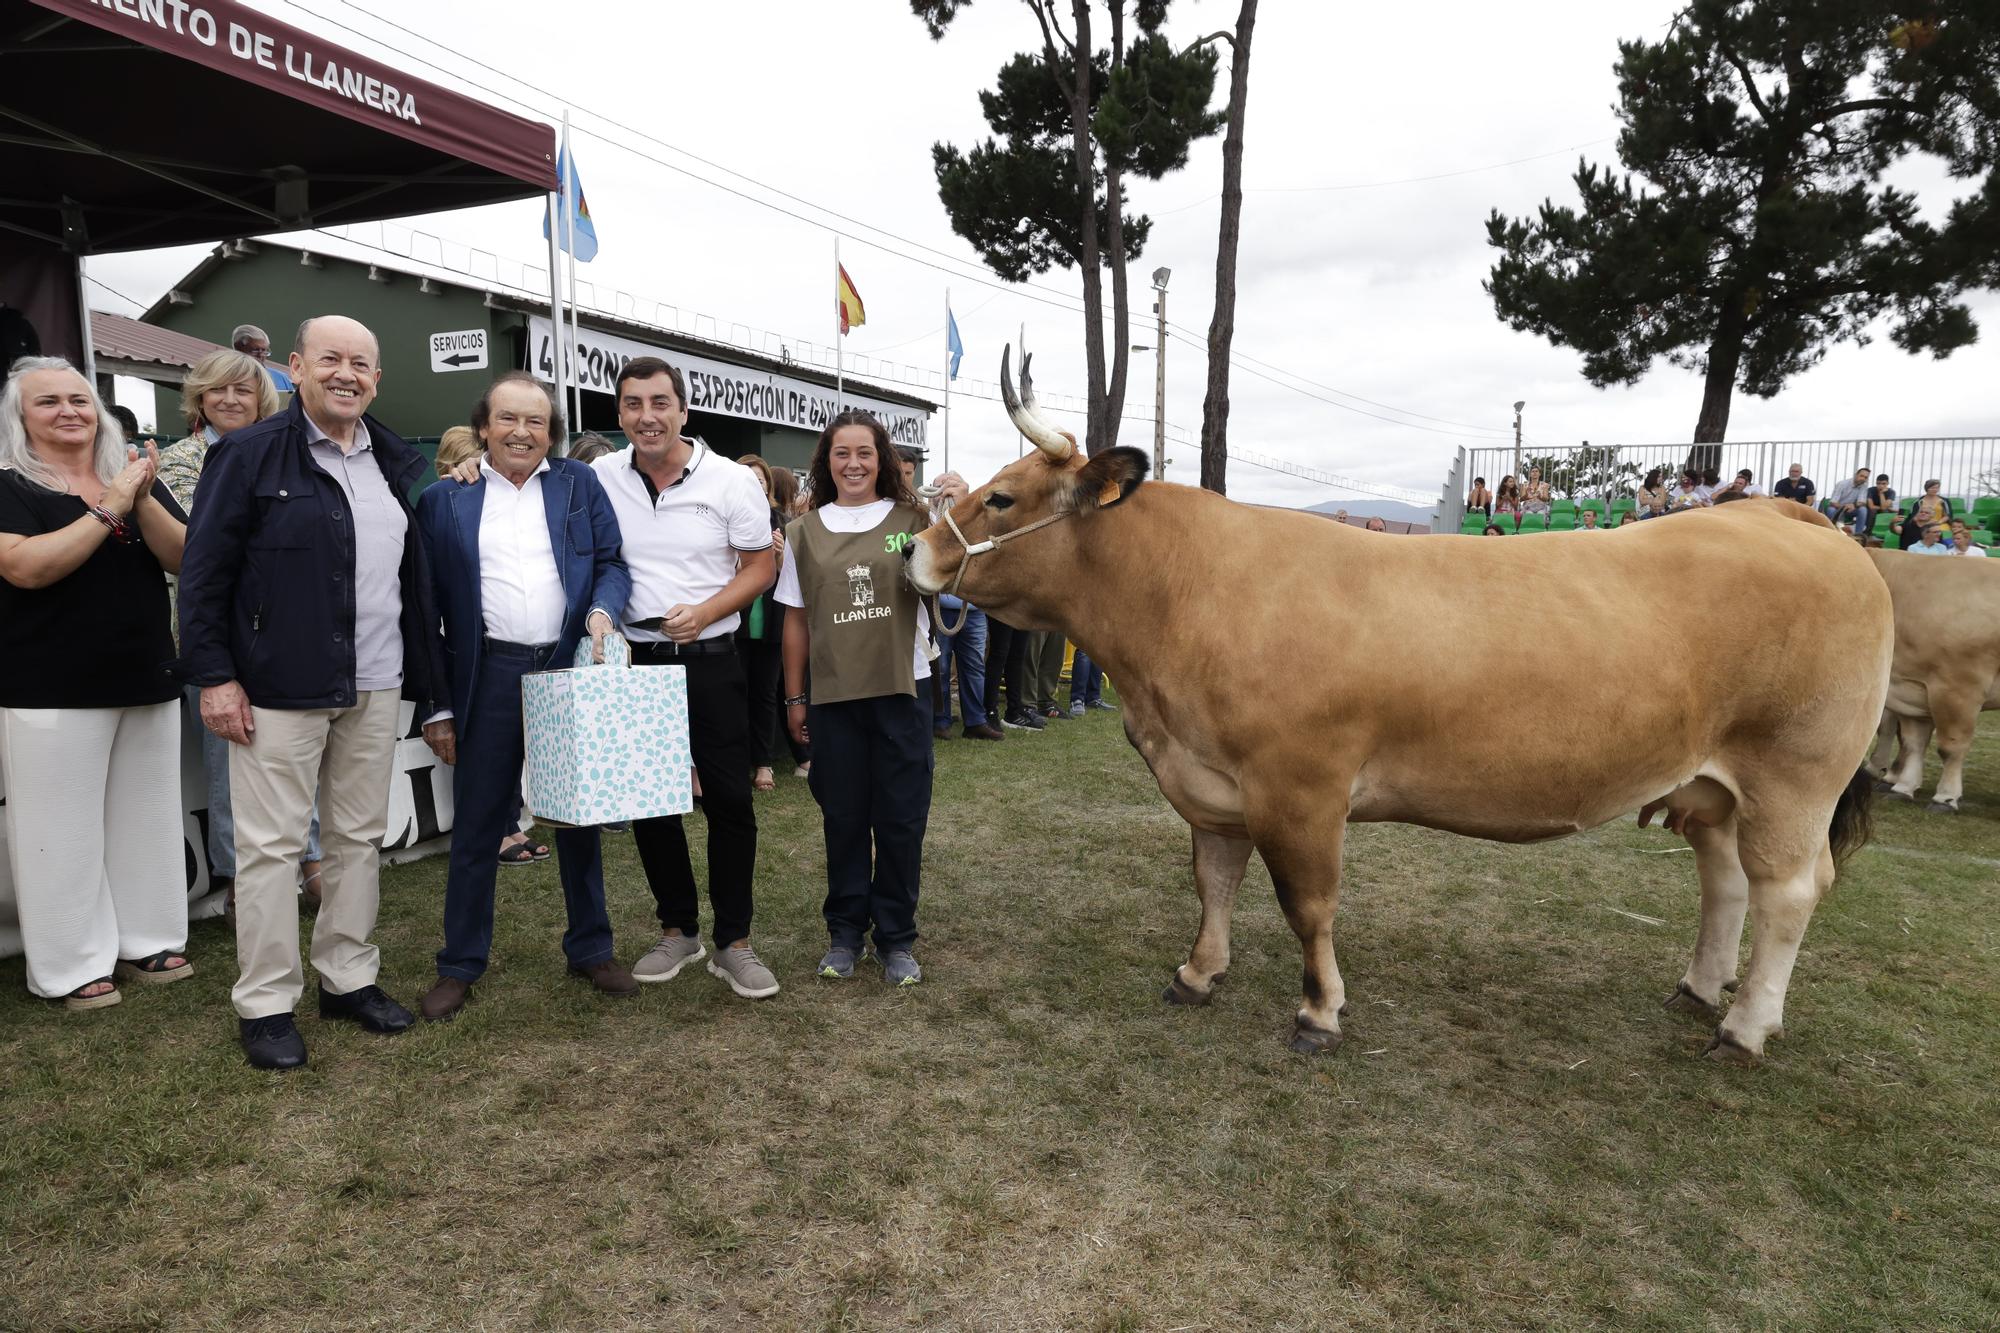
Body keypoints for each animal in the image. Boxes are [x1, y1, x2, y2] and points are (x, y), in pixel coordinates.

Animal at [908, 350, 1888, 1056]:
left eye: (1002, 497)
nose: (914, 553)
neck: (1186, 599)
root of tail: (1782, 515)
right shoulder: (1213, 785)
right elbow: (1213, 883)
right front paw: (1197, 973)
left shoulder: (1299, 789)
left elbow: (1307, 905)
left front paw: (1319, 1012)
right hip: (1717, 780)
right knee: (1726, 879)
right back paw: (1699, 987)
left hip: (1795, 774)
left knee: (1788, 890)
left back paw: (1745, 1027)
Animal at [1856, 548, 2000, 808]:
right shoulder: (1913, 687)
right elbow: (1913, 740)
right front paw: (1903, 786)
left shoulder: (1957, 689)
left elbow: (1951, 746)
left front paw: (1946, 797)